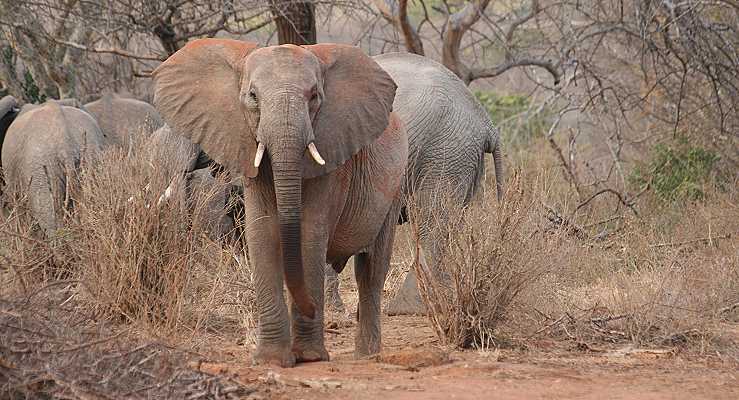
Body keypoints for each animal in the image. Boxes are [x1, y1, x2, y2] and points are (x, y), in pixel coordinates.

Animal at [154, 39, 408, 368]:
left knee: (371, 270)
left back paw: (367, 354)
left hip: (395, 186)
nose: (314, 308)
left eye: (314, 96)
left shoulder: (330, 156)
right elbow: (262, 234)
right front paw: (273, 360)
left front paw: (309, 357)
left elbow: (309, 236)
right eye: (252, 96)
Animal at [326, 52, 506, 316]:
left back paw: (407, 308)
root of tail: (486, 123)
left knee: (432, 219)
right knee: (449, 222)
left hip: (444, 151)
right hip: (462, 159)